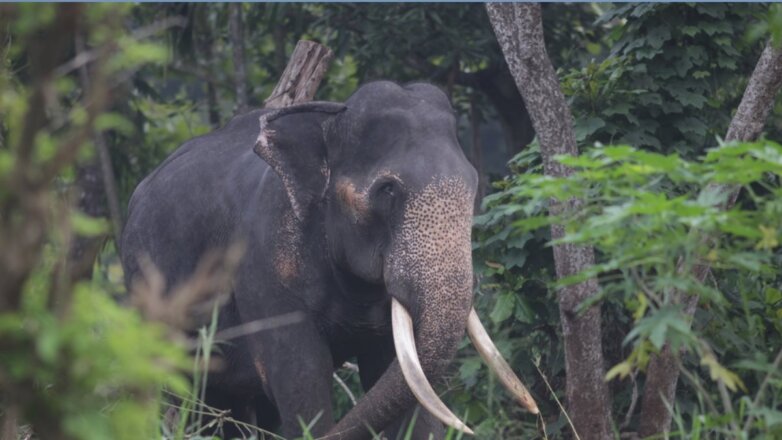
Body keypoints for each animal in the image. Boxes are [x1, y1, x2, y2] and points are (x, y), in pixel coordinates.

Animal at [122, 80, 540, 440]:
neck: (325, 123)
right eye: (387, 190)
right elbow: (300, 375)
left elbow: (399, 375)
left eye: (473, 183)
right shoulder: (262, 265)